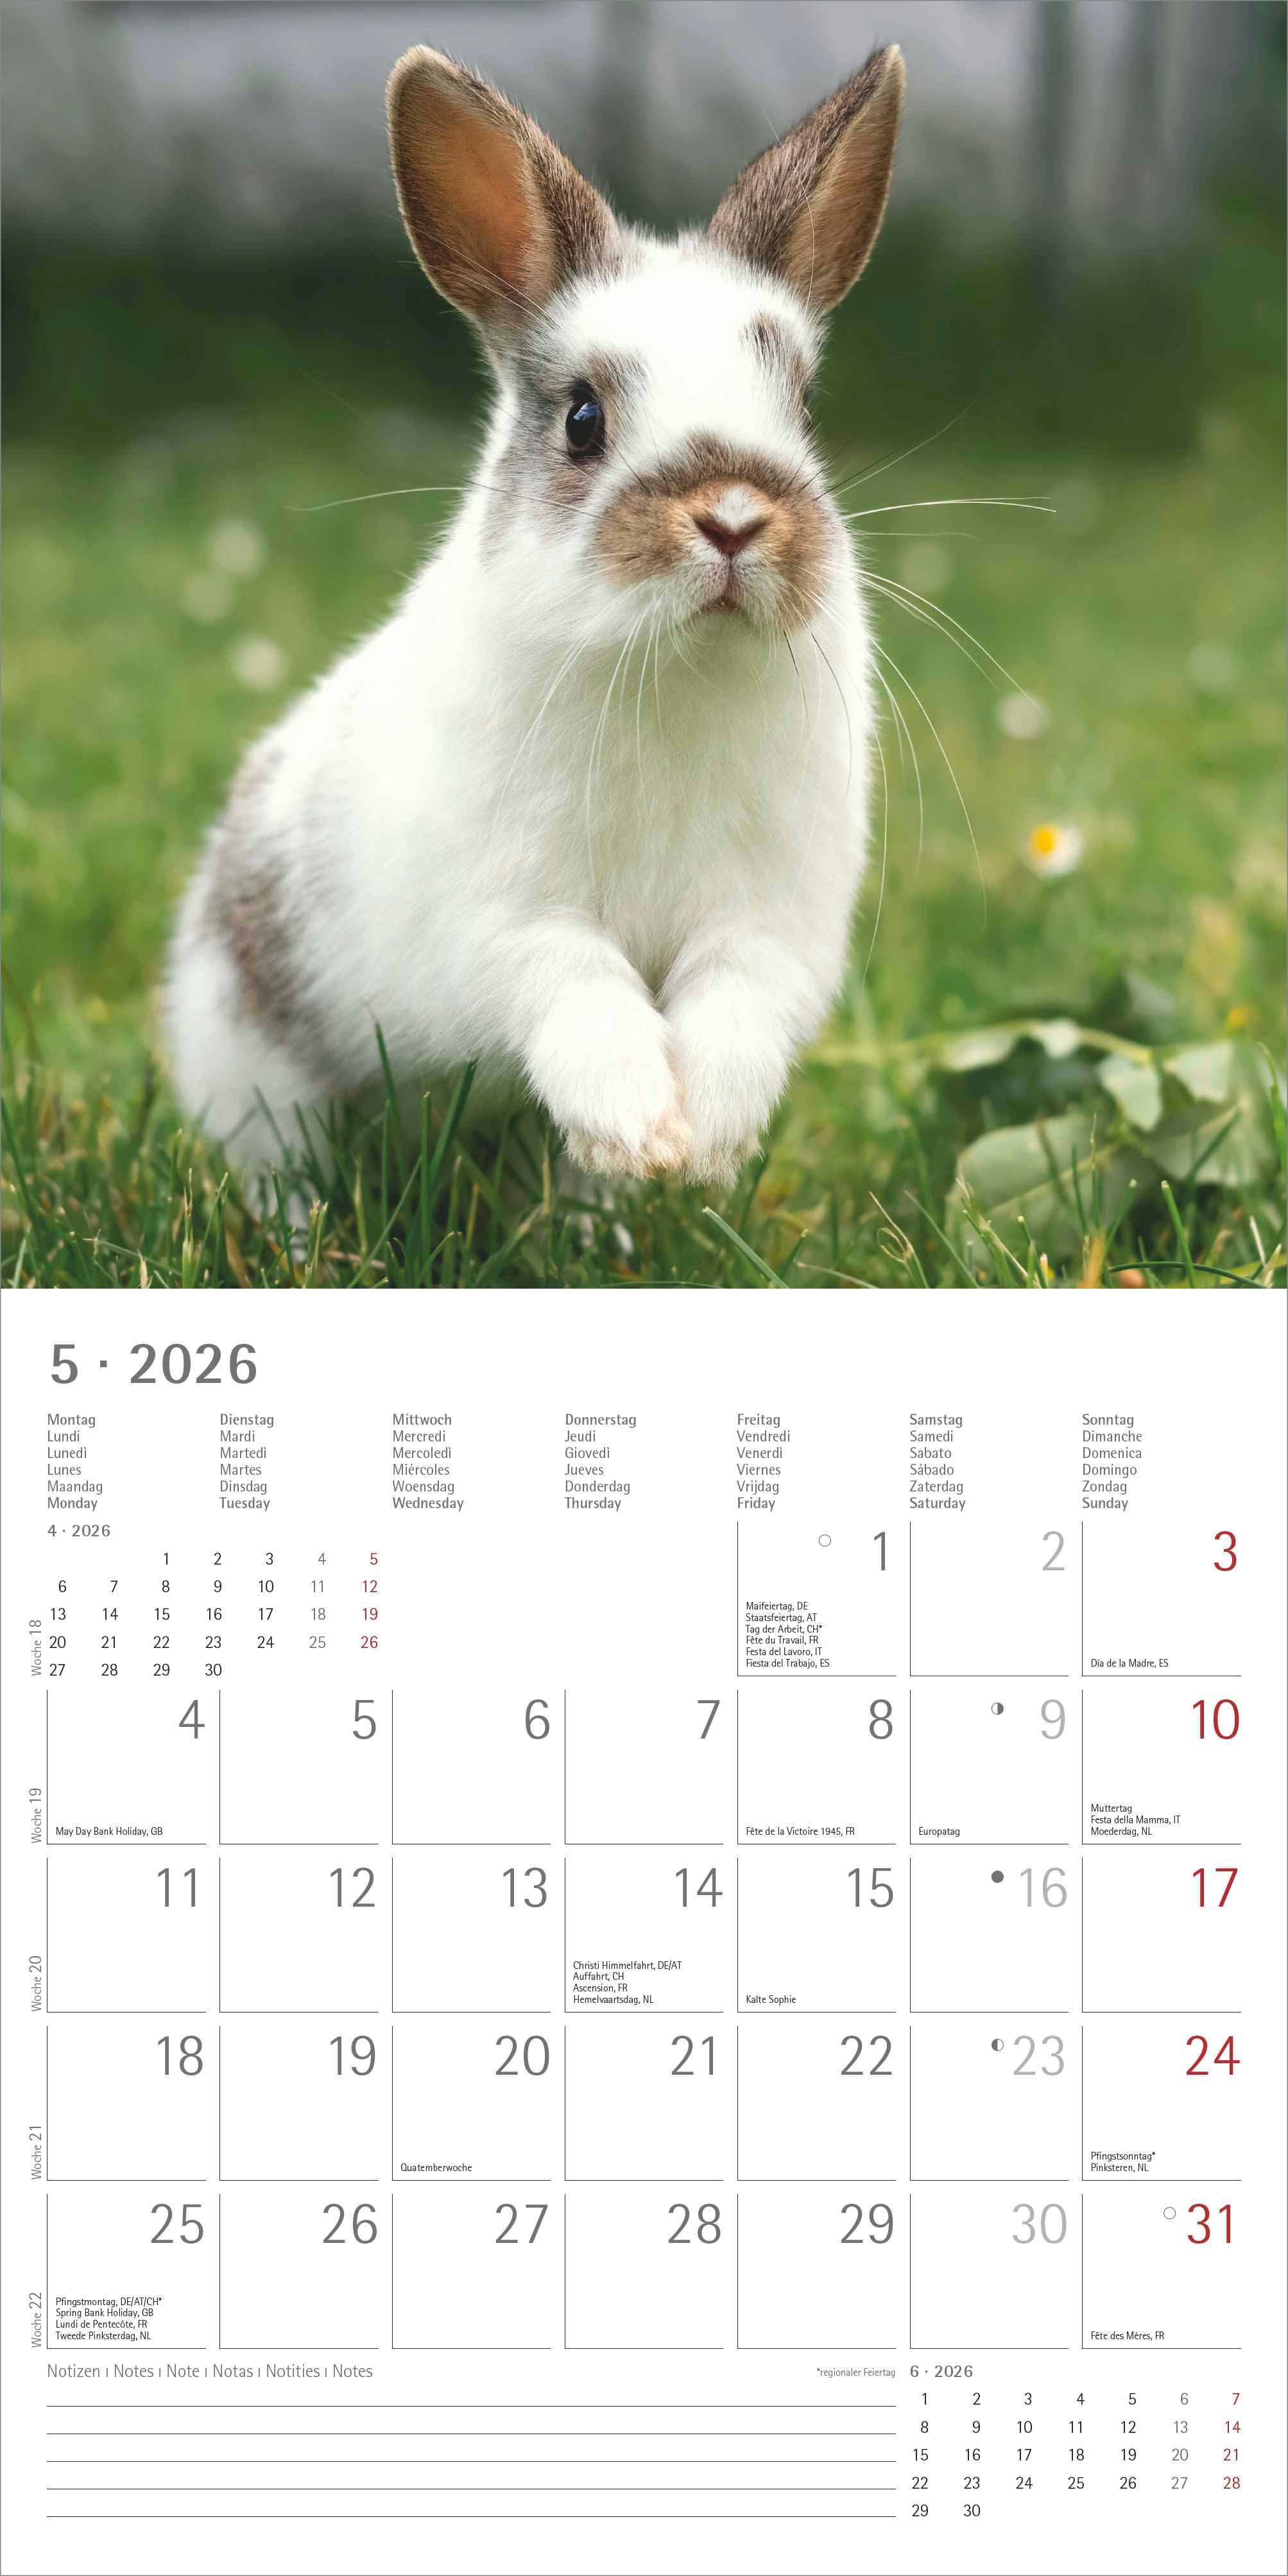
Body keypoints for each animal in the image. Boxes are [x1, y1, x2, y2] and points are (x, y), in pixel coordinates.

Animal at [167, 41, 905, 1192]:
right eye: (582, 418)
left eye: (803, 407)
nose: (734, 518)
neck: (673, 668)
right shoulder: (495, 924)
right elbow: (574, 983)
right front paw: (638, 1123)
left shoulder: (765, 925)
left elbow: (731, 1006)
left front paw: (700, 1141)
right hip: (252, 1068)